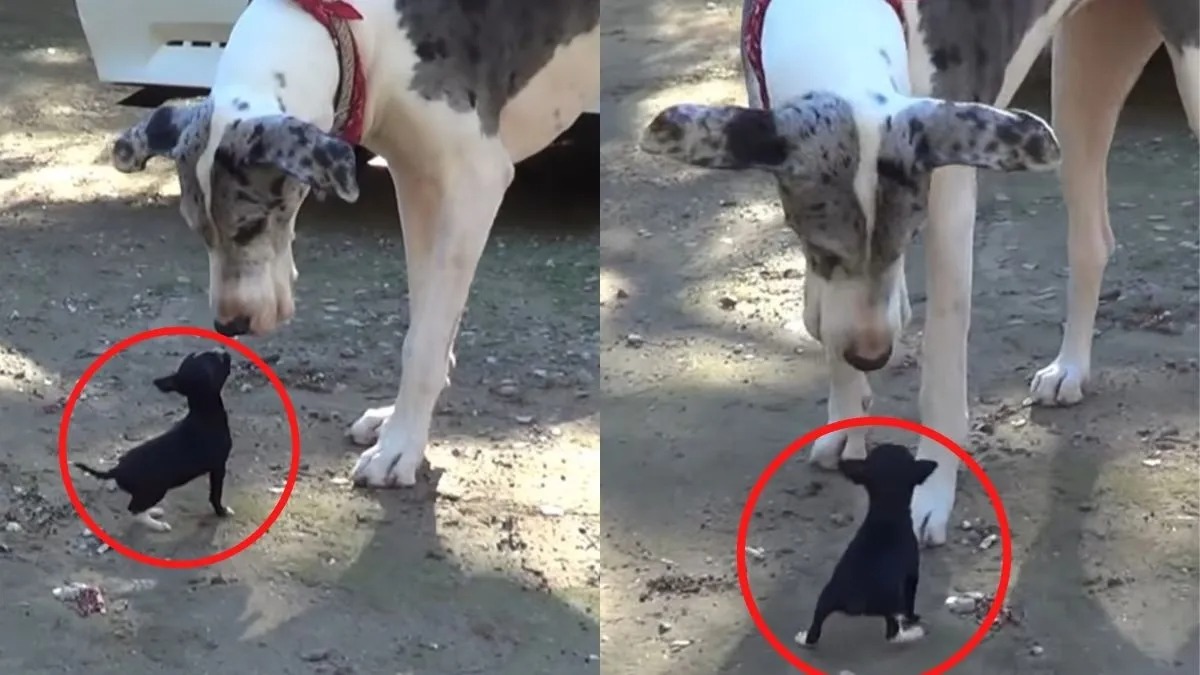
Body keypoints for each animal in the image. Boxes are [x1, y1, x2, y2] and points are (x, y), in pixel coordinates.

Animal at [75, 345, 236, 530]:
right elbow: (215, 495)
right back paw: (157, 525)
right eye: (217, 360)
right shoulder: (218, 466)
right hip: (155, 491)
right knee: (133, 511)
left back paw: (154, 513)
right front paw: (221, 511)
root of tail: (116, 470)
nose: (224, 351)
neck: (203, 414)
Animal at [112, 0, 600, 485]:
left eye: (250, 226)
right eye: (198, 230)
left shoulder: (473, 182)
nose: (230, 326)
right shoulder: (417, 180)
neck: (359, 30)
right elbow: (425, 315)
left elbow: (423, 342)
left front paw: (400, 448)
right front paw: (398, 420)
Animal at [643, 0, 1195, 542]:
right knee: (1091, 241)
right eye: (821, 245)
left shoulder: (947, 196)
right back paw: (1071, 368)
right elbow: (822, 318)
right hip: (1081, 79)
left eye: (909, 237)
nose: (871, 356)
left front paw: (931, 492)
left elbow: (941, 370)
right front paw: (847, 412)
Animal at [796, 441, 936, 648]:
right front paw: (912, 618)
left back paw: (804, 638)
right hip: (890, 604)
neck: (886, 514)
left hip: (825, 598)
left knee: (816, 626)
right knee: (892, 631)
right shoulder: (912, 574)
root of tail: (855, 599)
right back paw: (911, 634)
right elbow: (910, 601)